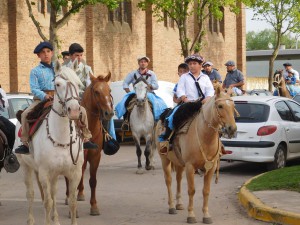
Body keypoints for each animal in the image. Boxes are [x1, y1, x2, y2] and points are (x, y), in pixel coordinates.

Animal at [16, 60, 84, 225]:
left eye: (78, 84)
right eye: (58, 84)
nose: (74, 110)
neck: (62, 137)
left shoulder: (75, 173)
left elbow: (72, 202)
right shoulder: (44, 173)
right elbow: (47, 202)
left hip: (54, 174)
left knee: (53, 193)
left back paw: (56, 220)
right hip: (26, 167)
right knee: (31, 194)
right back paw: (30, 220)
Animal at [66, 73, 115, 215]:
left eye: (109, 90)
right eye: (97, 91)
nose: (109, 113)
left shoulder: (95, 155)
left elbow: (93, 181)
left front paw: (94, 206)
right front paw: (73, 209)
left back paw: (80, 194)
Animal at [155, 86, 237, 223]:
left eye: (233, 105)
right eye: (220, 106)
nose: (232, 129)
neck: (205, 137)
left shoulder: (211, 168)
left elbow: (206, 191)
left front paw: (206, 215)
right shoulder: (190, 167)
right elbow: (191, 190)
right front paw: (191, 215)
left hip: (179, 163)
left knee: (178, 179)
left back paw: (179, 204)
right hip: (165, 159)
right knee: (169, 181)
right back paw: (171, 206)